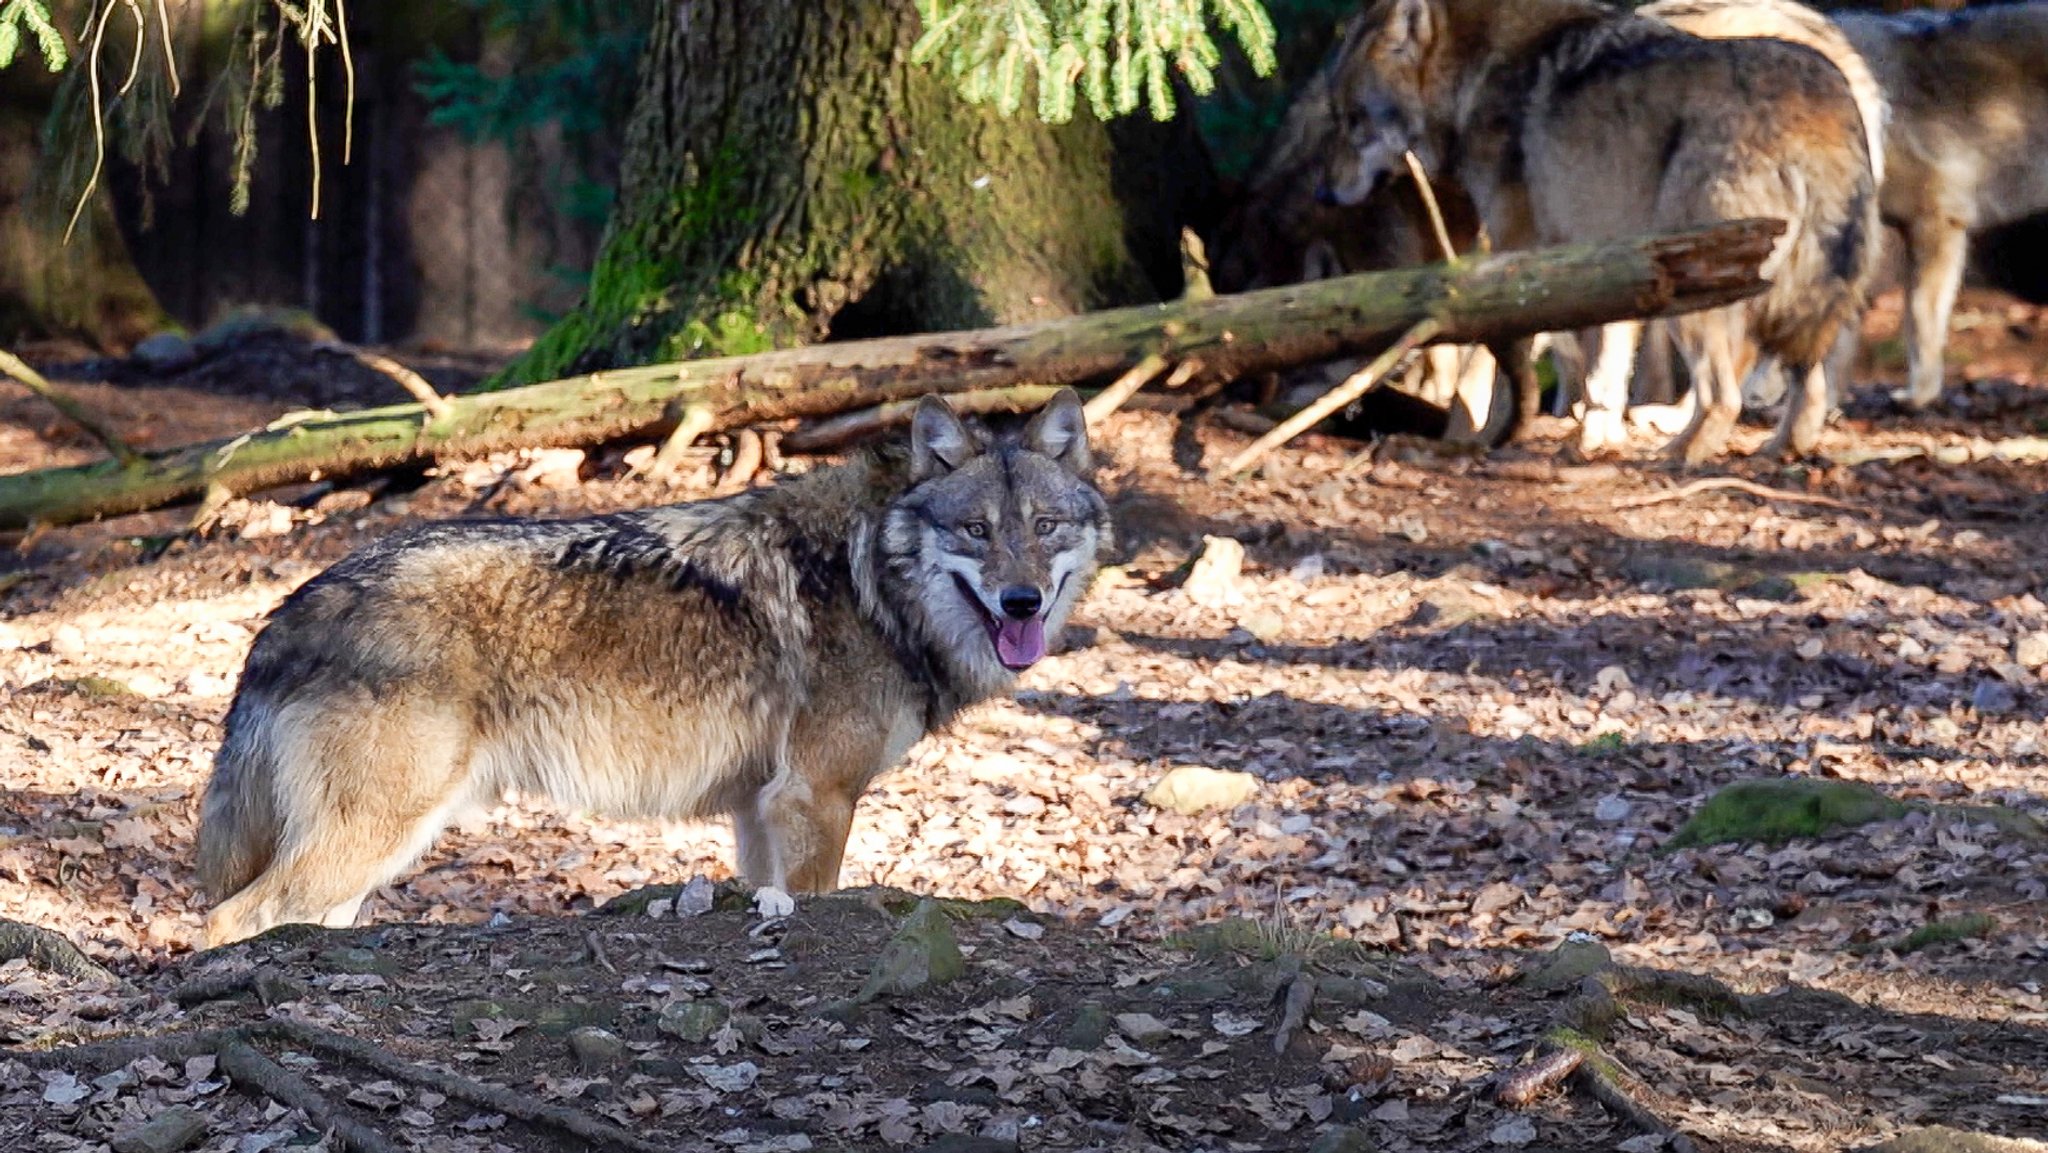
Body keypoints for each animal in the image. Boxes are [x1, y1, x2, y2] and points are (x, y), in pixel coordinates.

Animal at [199, 387, 1114, 946]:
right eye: (976, 531)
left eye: (1044, 525)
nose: (1023, 601)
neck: (872, 577)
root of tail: (284, 613)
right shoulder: (815, 797)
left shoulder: (760, 810)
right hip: (375, 834)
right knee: (227, 920)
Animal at [1318, 0, 1875, 464]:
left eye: (1353, 121)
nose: (1323, 192)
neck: (1474, 80)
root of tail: (1822, 100)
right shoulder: (1615, 268)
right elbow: (1603, 373)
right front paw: (1593, 440)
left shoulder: (1512, 257)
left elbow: (1484, 375)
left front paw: (1466, 440)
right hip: (1785, 292)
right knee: (1809, 383)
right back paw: (1779, 450)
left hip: (1701, 294)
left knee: (1723, 394)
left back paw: (1678, 455)